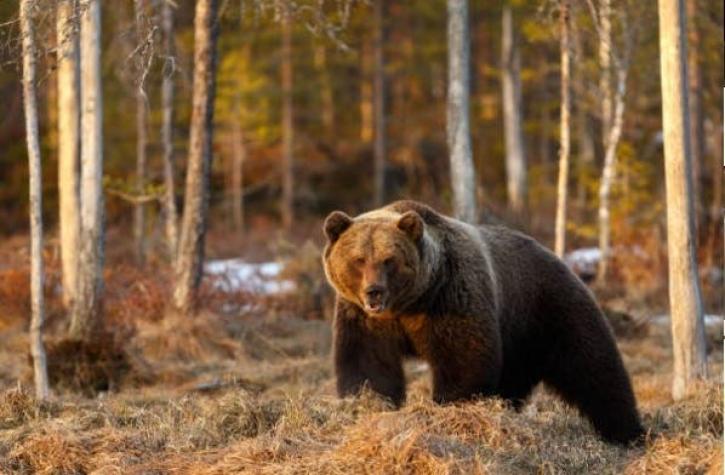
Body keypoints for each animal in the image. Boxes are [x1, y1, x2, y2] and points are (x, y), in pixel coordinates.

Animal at [322, 201, 644, 446]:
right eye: (359, 259)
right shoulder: (364, 318)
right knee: (515, 379)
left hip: (548, 308)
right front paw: (368, 404)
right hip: (519, 342)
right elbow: (369, 364)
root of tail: (558, 257)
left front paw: (450, 410)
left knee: (593, 367)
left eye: (389, 259)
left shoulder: (451, 295)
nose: (373, 291)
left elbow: (463, 359)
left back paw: (627, 432)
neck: (410, 304)